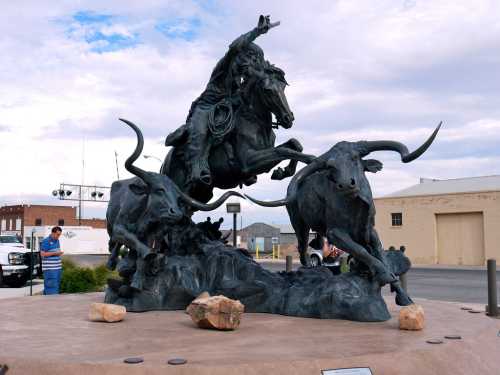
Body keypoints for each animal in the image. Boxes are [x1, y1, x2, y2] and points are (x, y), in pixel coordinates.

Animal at [162, 66, 314, 204]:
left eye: (283, 87)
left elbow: (294, 144)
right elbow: (282, 150)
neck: (254, 122)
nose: (288, 118)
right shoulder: (248, 161)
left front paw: (283, 171)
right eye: (267, 90)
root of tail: (165, 164)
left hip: (202, 193)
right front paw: (310, 159)